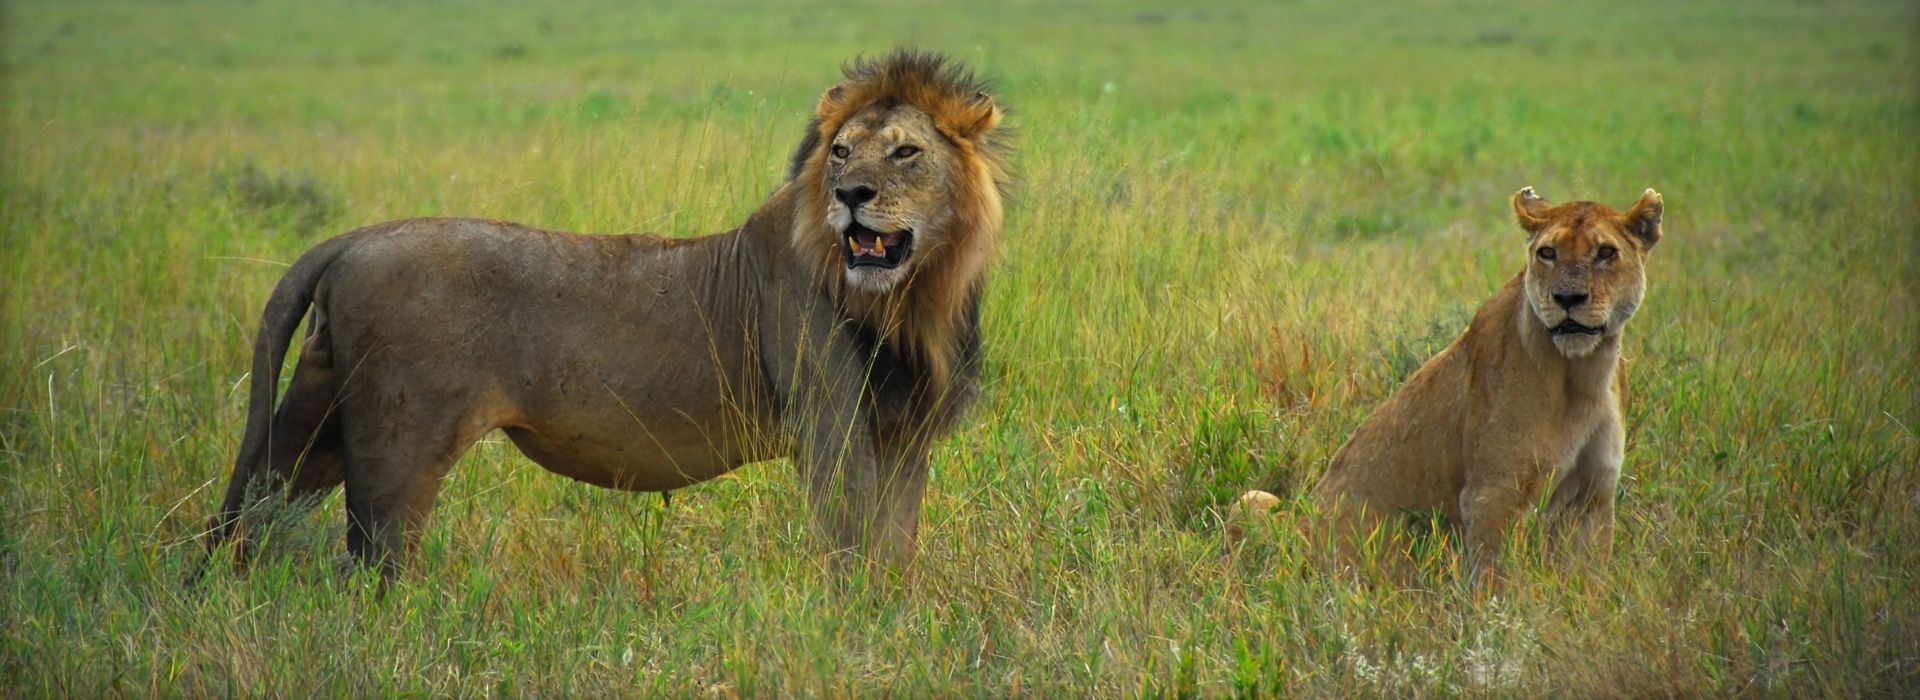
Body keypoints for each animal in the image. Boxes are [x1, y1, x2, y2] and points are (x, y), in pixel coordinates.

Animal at [200, 50, 1009, 580]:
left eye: (905, 153)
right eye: (840, 153)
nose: (850, 195)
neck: (912, 303)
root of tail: (351, 241)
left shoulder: (904, 436)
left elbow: (895, 546)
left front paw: (891, 617)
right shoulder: (831, 425)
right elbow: (853, 548)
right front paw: (854, 628)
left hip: (317, 418)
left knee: (248, 513)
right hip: (398, 450)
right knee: (369, 566)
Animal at [1297, 186, 1664, 587]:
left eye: (1606, 253)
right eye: (1547, 253)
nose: (1567, 298)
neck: (1583, 375)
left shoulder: (1592, 497)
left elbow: (1587, 578)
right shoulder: (1493, 494)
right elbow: (1498, 582)